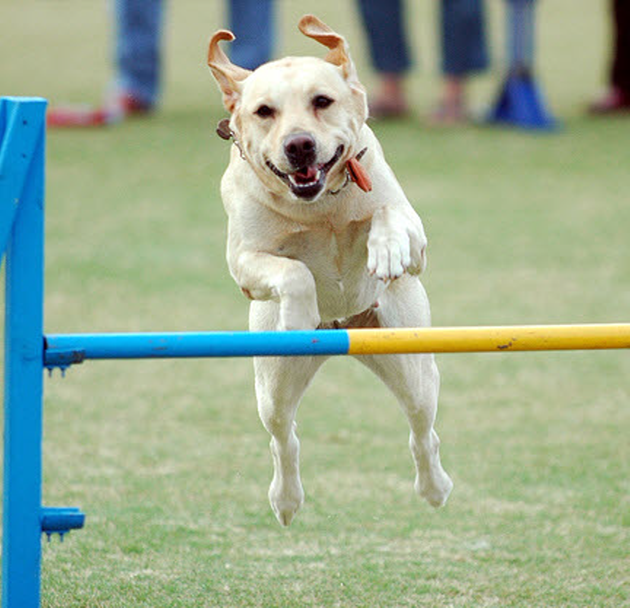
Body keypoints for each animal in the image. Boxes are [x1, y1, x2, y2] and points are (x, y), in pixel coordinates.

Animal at [209, 14, 454, 528]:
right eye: (264, 111)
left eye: (322, 101)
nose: (299, 145)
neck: (318, 206)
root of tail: (344, 326)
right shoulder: (244, 263)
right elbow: (292, 270)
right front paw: (299, 314)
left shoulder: (414, 234)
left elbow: (388, 217)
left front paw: (385, 250)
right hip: (273, 385)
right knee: (284, 439)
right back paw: (286, 501)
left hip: (412, 364)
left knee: (422, 429)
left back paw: (434, 488)